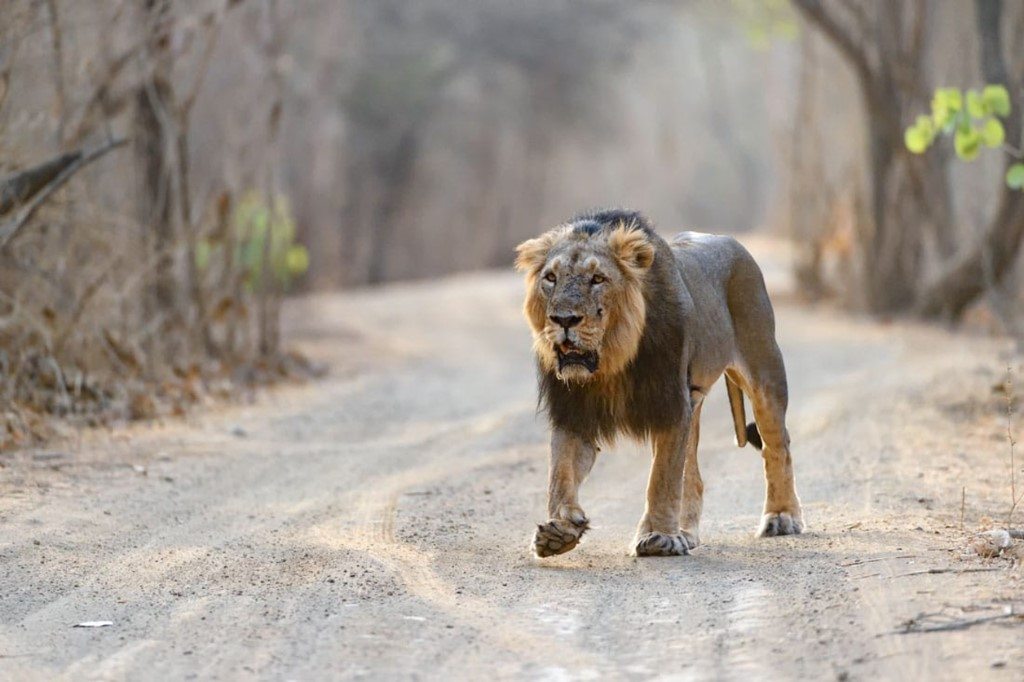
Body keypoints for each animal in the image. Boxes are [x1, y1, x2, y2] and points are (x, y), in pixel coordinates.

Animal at [516, 209, 802, 557]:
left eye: (598, 279)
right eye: (550, 278)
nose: (564, 319)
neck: (612, 362)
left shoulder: (671, 405)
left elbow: (662, 478)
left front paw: (658, 537)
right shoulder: (573, 410)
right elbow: (561, 473)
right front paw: (560, 530)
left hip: (764, 371)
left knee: (778, 446)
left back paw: (781, 517)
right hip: (695, 400)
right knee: (693, 476)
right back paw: (686, 531)